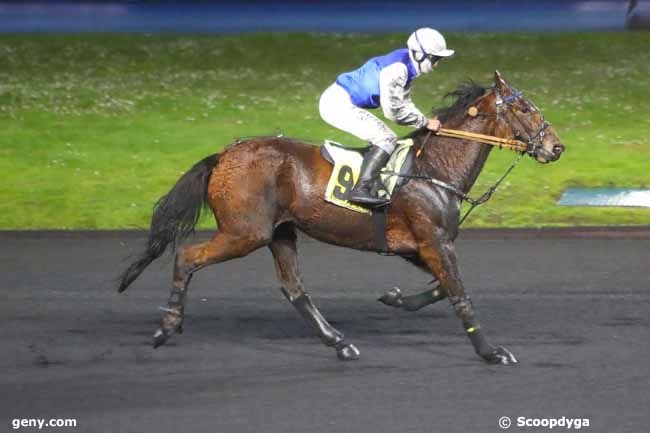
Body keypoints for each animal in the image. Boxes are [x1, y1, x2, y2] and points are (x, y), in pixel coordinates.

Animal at [116, 71, 560, 364]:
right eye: (524, 108)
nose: (556, 147)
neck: (433, 168)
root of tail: (225, 154)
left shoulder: (419, 246)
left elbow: (439, 288)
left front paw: (395, 298)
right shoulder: (434, 241)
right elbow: (459, 293)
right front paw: (491, 352)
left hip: (280, 233)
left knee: (294, 289)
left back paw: (338, 342)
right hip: (245, 232)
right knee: (186, 257)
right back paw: (166, 327)